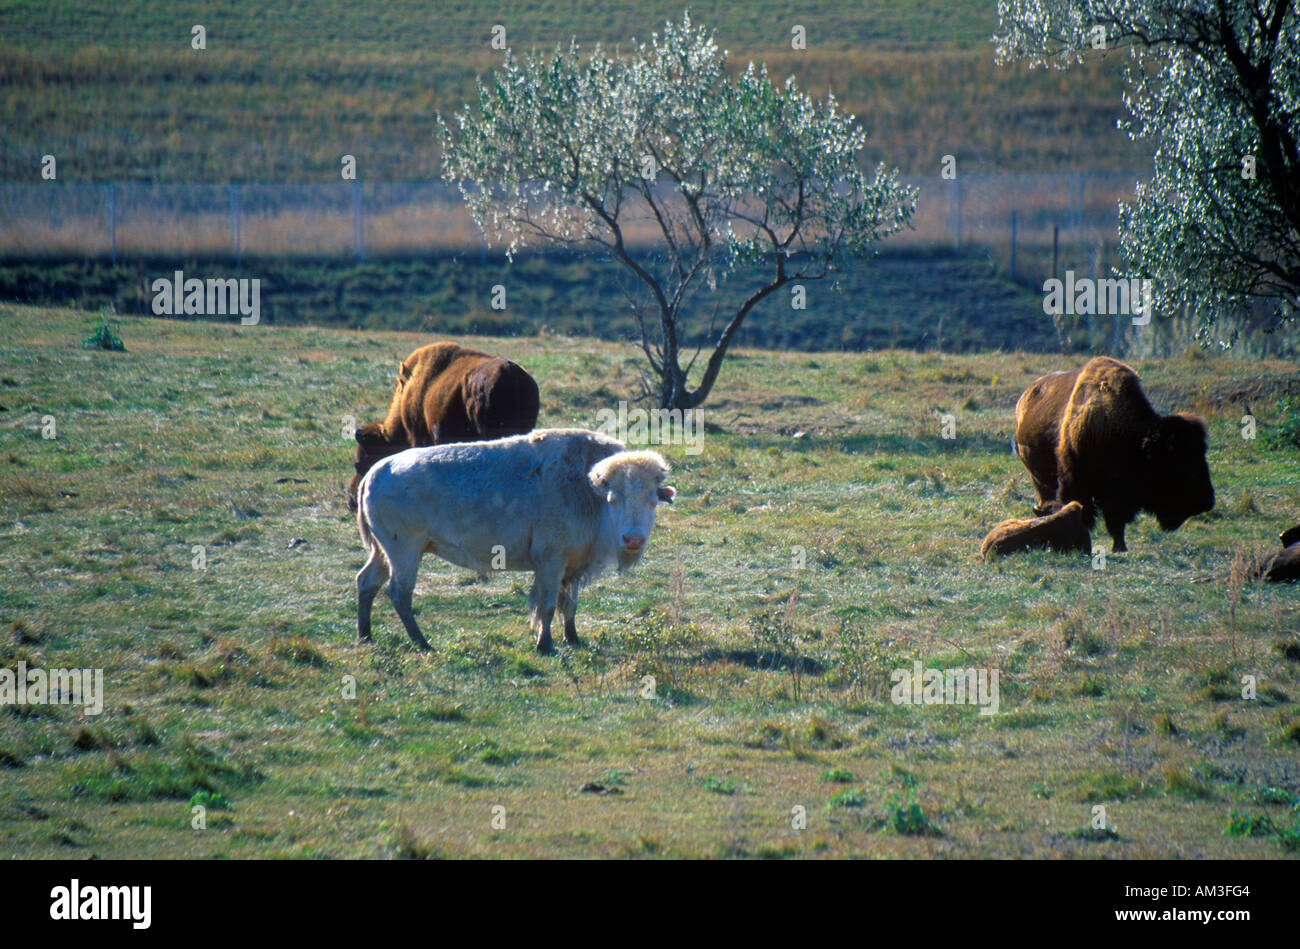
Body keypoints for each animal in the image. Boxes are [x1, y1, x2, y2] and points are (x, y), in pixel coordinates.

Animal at [1008, 353, 1211, 551]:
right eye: (1179, 463)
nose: (1207, 502)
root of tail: (1024, 399)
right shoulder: (1075, 482)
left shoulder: (1117, 496)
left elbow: (1116, 522)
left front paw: (1120, 547)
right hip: (1038, 479)